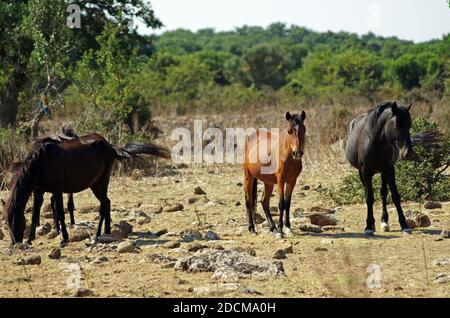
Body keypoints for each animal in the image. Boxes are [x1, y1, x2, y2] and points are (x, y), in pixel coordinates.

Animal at [1, 133, 171, 245]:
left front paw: (64, 238)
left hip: (101, 182)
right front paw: (30, 240)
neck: (41, 161)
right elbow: (35, 214)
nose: (14, 243)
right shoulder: (38, 190)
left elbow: (61, 213)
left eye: (14, 220)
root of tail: (109, 146)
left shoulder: (57, 190)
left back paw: (97, 235)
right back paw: (106, 232)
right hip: (95, 184)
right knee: (107, 202)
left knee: (104, 204)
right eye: (6, 222)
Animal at [346, 102, 414, 236]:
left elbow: (395, 196)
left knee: (383, 193)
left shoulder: (389, 169)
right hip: (362, 173)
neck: (375, 142)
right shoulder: (365, 171)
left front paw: (404, 225)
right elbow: (369, 198)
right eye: (398, 124)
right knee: (369, 193)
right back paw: (372, 223)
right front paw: (368, 226)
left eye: (409, 125)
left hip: (383, 172)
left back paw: (384, 222)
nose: (407, 153)